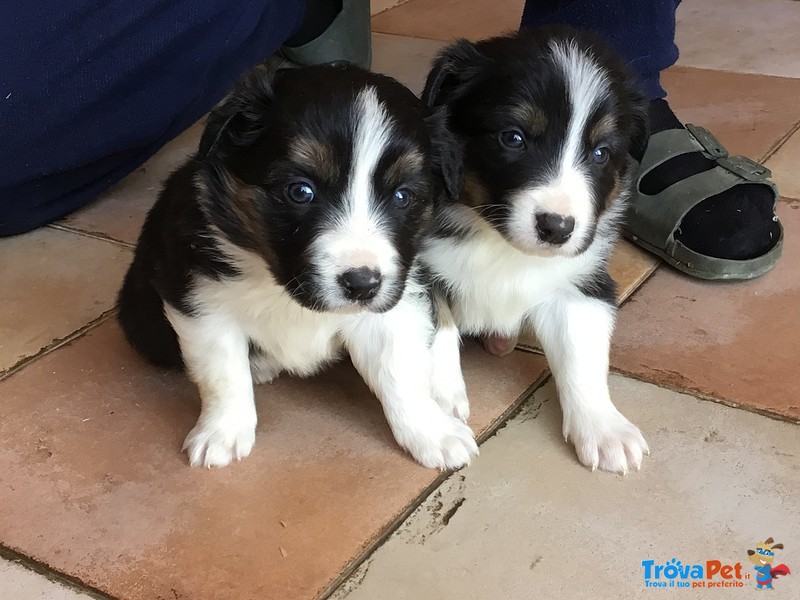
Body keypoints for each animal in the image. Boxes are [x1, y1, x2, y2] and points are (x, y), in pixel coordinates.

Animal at [118, 64, 476, 468]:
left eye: (403, 196)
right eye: (300, 191)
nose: (361, 284)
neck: (281, 287)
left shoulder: (393, 302)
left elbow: (401, 373)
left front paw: (432, 432)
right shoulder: (199, 299)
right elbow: (221, 372)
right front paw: (221, 433)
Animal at [422, 28, 652, 476]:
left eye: (601, 152)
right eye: (513, 137)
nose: (557, 227)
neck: (497, 242)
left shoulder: (580, 284)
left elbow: (582, 356)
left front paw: (605, 430)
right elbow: (437, 327)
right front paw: (439, 399)